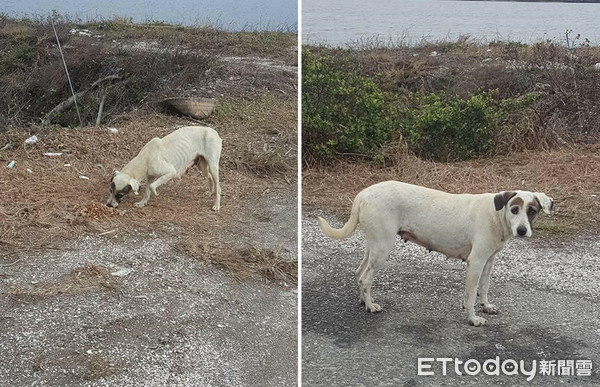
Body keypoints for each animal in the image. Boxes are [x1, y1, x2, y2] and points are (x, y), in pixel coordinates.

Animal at [318, 182, 552, 328]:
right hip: (383, 248)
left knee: (359, 273)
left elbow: (483, 289)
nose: (522, 230)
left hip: (374, 246)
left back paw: (363, 300)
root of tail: (363, 195)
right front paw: (473, 318)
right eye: (514, 209)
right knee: (365, 278)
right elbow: (471, 295)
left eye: (532, 211)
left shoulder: (488, 262)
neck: (497, 214)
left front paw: (485, 306)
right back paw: (370, 306)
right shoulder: (476, 262)